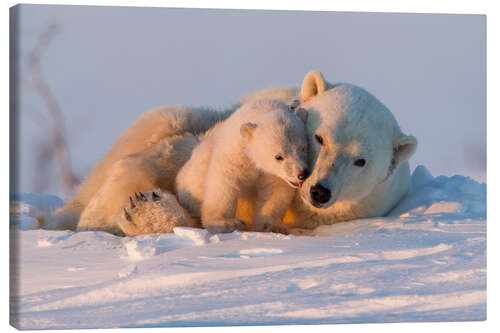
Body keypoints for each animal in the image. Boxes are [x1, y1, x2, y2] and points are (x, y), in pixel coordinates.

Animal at [176, 99, 308, 233]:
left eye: (303, 148)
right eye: (278, 156)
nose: (302, 174)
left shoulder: (273, 173)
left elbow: (275, 189)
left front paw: (271, 225)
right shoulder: (236, 153)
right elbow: (225, 182)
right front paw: (226, 223)